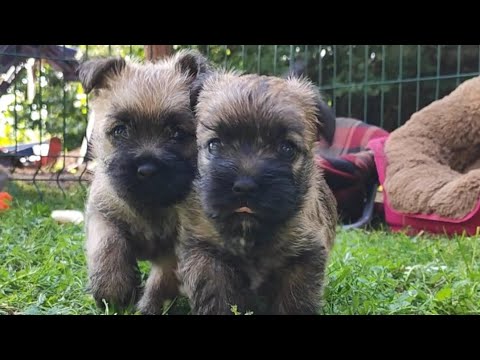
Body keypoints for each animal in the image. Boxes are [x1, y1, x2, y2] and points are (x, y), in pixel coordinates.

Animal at [79, 50, 210, 316]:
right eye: (120, 130)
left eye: (177, 133)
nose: (147, 170)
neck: (150, 208)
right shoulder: (102, 213)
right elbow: (106, 245)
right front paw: (112, 290)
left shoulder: (176, 246)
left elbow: (163, 279)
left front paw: (148, 305)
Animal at [176, 71, 338, 314]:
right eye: (214, 144)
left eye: (287, 148)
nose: (245, 186)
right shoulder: (205, 252)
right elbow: (215, 295)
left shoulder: (304, 257)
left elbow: (295, 301)